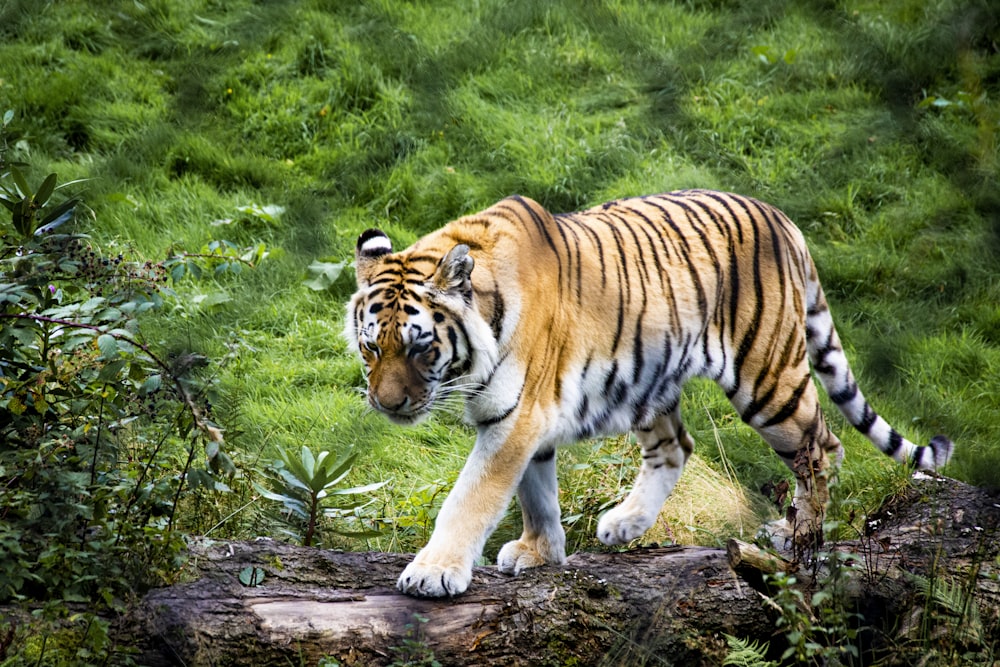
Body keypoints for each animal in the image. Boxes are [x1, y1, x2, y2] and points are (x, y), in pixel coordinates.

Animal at [344, 190, 952, 596]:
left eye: (420, 348)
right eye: (372, 347)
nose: (387, 405)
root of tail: (783, 219)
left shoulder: (516, 417)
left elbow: (471, 497)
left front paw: (433, 571)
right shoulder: (528, 419)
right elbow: (536, 493)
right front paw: (542, 552)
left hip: (768, 381)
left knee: (823, 447)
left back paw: (797, 535)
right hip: (646, 380)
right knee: (676, 447)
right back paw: (626, 523)